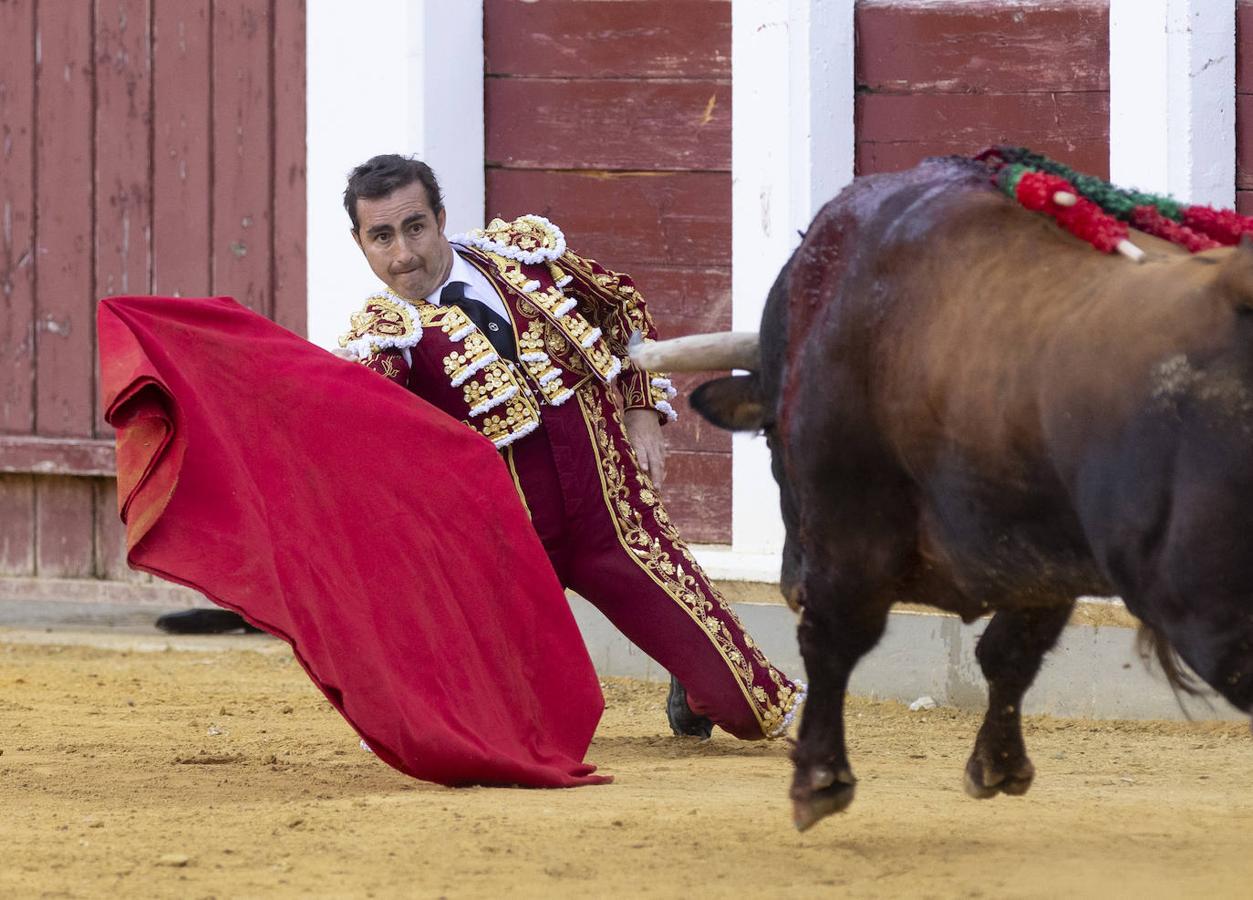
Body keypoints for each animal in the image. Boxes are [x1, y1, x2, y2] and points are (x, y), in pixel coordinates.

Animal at [631, 156, 1253, 832]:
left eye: (773, 436)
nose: (789, 580)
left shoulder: (850, 529)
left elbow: (832, 637)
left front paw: (819, 780)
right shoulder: (1038, 543)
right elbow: (1009, 649)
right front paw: (998, 766)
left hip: (1201, 602)